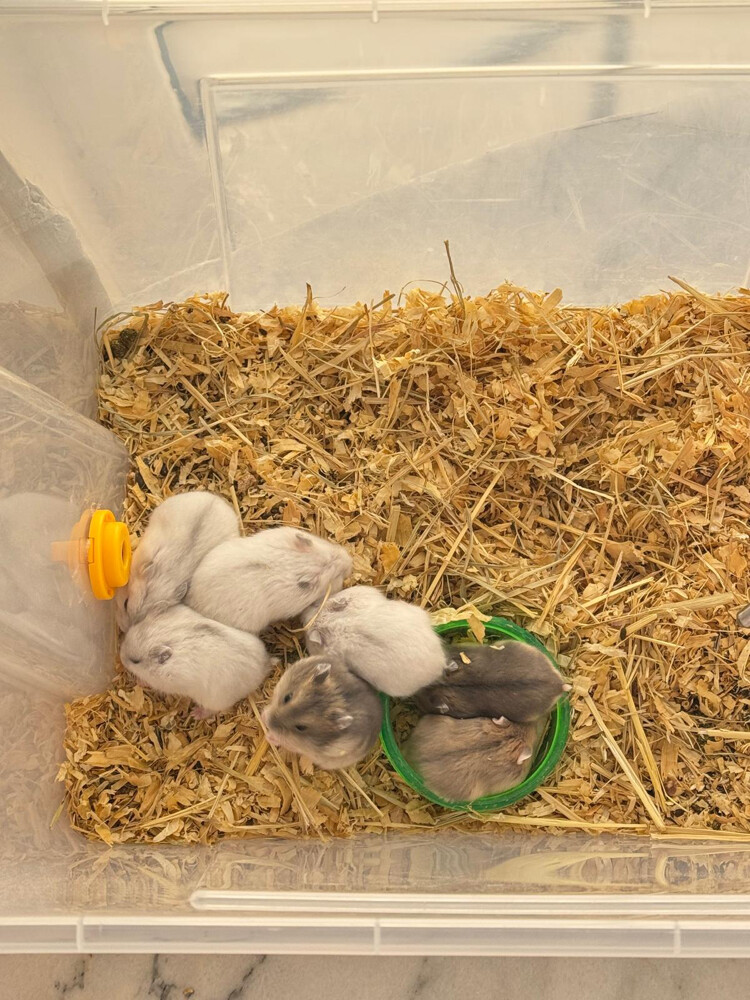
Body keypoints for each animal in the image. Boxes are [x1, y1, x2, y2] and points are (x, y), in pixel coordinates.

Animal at [119, 603, 271, 715]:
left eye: (135, 661)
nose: (120, 656)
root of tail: (265, 665)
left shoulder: (167, 684)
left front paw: (140, 681)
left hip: (215, 700)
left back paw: (196, 713)